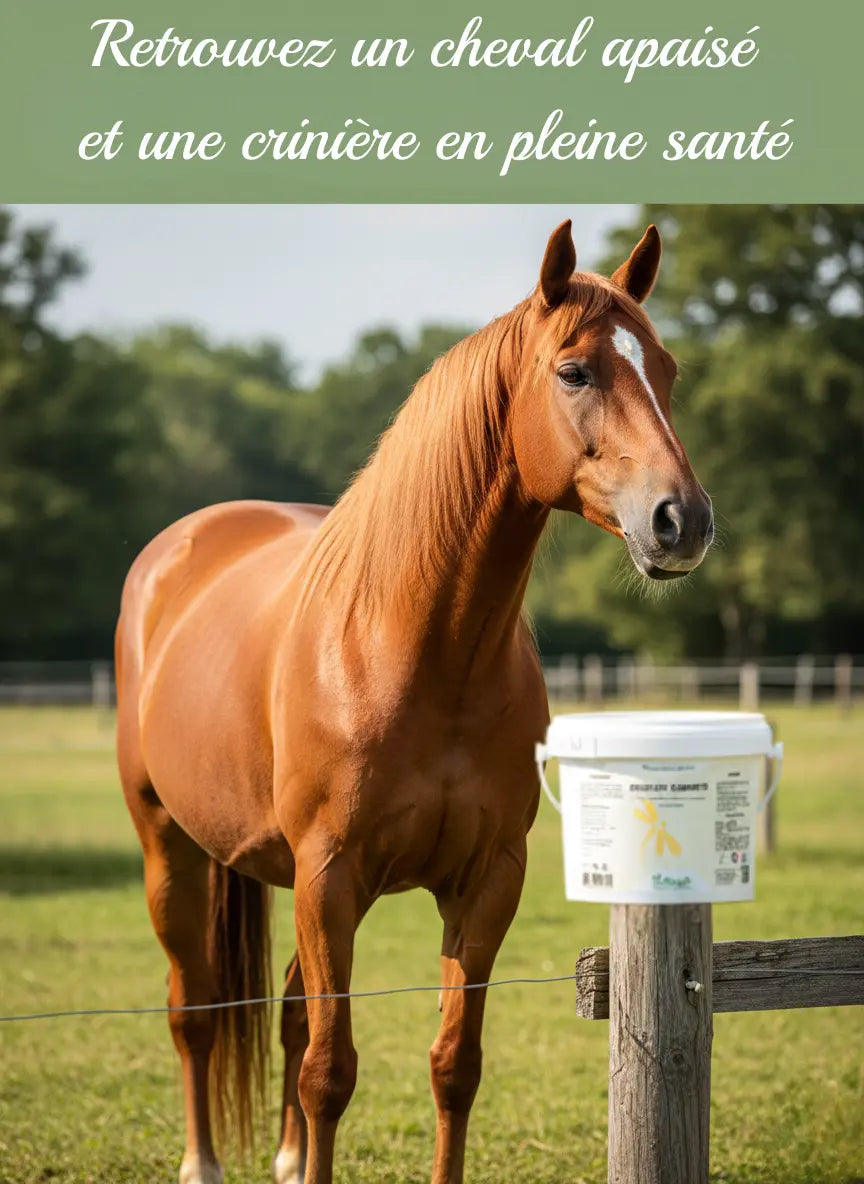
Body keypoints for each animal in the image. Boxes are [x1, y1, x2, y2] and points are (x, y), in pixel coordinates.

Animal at [115, 218, 713, 1184]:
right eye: (575, 371)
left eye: (665, 370)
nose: (681, 521)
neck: (418, 652)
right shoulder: (331, 877)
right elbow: (330, 1071)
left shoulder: (485, 883)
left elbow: (451, 1065)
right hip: (170, 849)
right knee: (194, 1007)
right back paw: (202, 1162)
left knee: (287, 1013)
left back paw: (284, 1159)